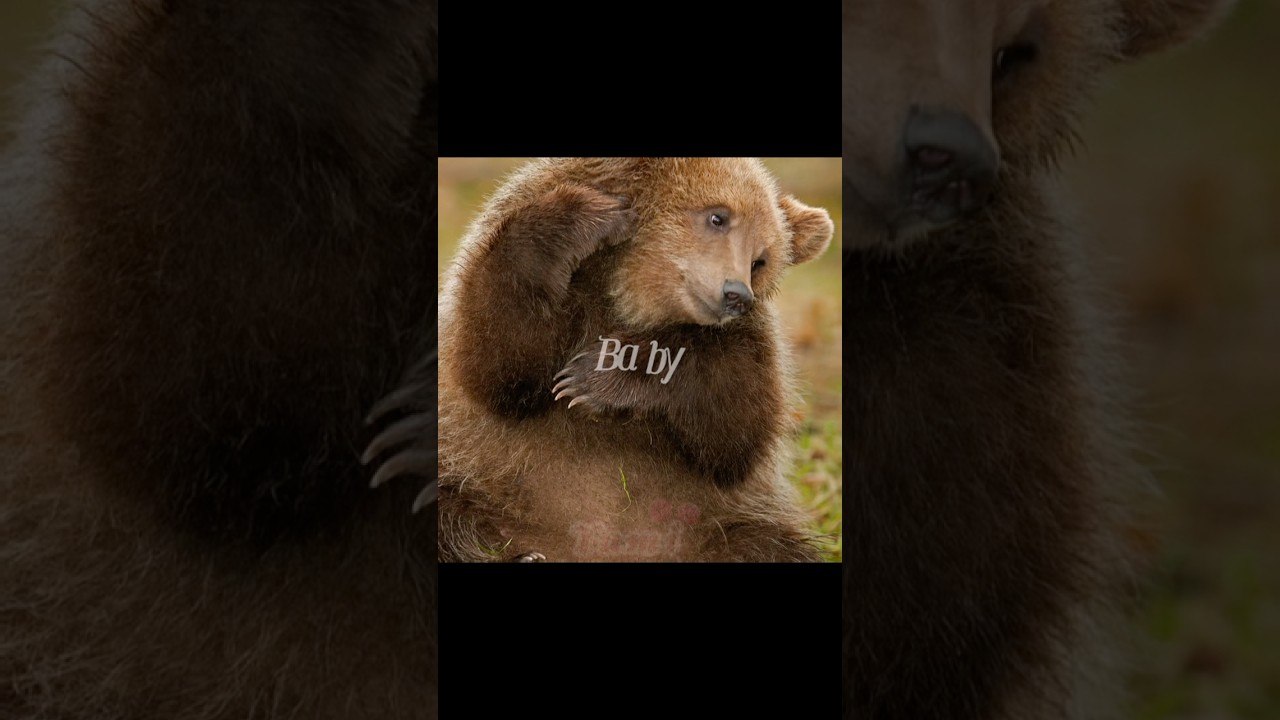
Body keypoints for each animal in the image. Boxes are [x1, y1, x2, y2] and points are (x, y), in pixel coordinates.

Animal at [364, 157, 835, 562]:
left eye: (762, 260)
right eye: (718, 217)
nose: (736, 294)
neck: (626, 292)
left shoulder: (747, 344)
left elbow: (737, 428)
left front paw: (595, 379)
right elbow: (493, 361)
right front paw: (586, 217)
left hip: (712, 524)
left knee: (768, 545)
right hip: (480, 488)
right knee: (438, 510)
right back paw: (521, 556)